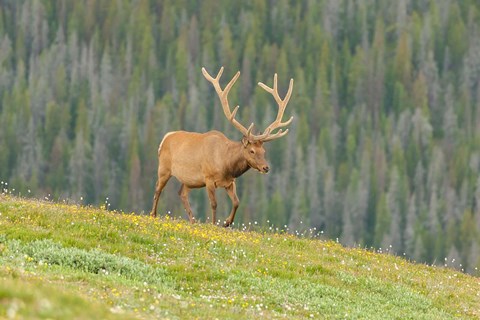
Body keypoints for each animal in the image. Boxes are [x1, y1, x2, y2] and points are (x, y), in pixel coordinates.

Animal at [150, 66, 292, 228]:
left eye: (264, 151)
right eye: (252, 151)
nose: (266, 167)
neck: (226, 164)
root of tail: (165, 138)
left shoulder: (230, 182)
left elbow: (236, 202)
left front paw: (226, 222)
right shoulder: (209, 178)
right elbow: (214, 204)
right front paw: (214, 224)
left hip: (190, 181)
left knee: (182, 193)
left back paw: (193, 221)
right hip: (164, 169)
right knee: (157, 189)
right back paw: (153, 215)